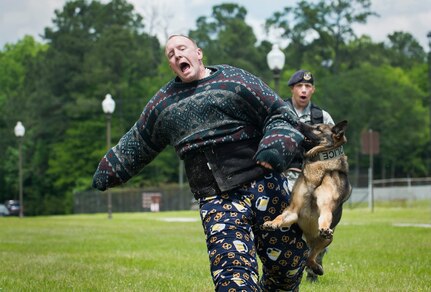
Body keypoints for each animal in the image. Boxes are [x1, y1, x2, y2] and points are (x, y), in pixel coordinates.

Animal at [264, 120, 352, 274]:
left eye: (317, 128)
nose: (298, 123)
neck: (318, 163)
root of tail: (310, 240)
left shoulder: (326, 208)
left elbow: (324, 218)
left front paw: (324, 228)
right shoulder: (293, 210)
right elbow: (281, 216)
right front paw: (272, 222)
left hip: (328, 240)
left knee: (311, 256)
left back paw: (316, 266)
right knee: (308, 257)